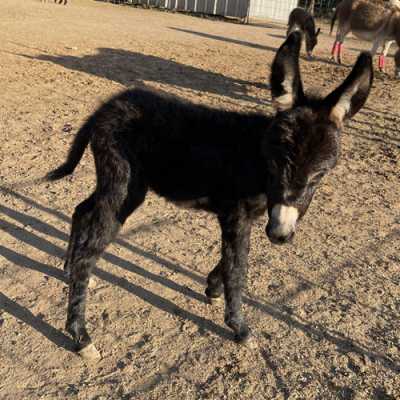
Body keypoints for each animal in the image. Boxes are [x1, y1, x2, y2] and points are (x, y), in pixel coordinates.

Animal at [45, 33, 374, 360]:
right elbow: (238, 266)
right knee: (90, 251)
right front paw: (240, 328)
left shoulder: (249, 216)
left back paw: (68, 267)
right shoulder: (236, 215)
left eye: (320, 175)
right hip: (124, 189)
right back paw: (81, 336)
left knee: (82, 209)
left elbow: (229, 259)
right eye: (276, 163)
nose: (280, 235)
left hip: (115, 184)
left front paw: (213, 289)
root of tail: (105, 107)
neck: (255, 155)